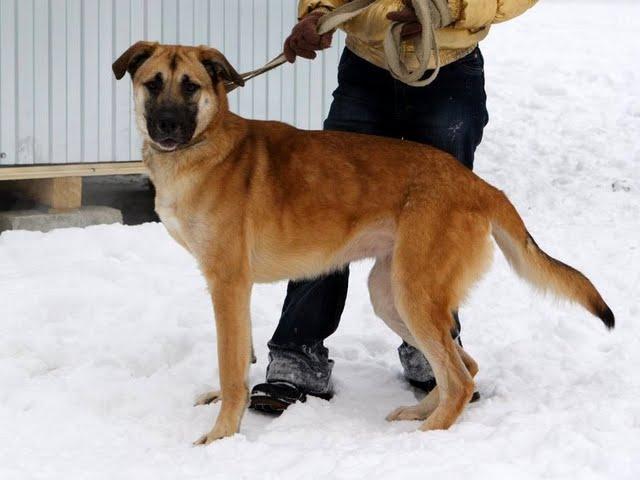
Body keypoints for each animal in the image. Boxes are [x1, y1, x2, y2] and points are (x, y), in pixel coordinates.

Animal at [112, 43, 612, 444]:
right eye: (153, 84)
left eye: (190, 87)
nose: (166, 127)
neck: (207, 144)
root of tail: (480, 185)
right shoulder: (233, 287)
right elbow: (241, 354)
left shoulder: (228, 283)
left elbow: (232, 364)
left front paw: (221, 436)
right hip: (389, 294)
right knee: (464, 367)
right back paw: (417, 413)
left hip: (413, 295)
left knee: (460, 379)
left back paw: (426, 436)